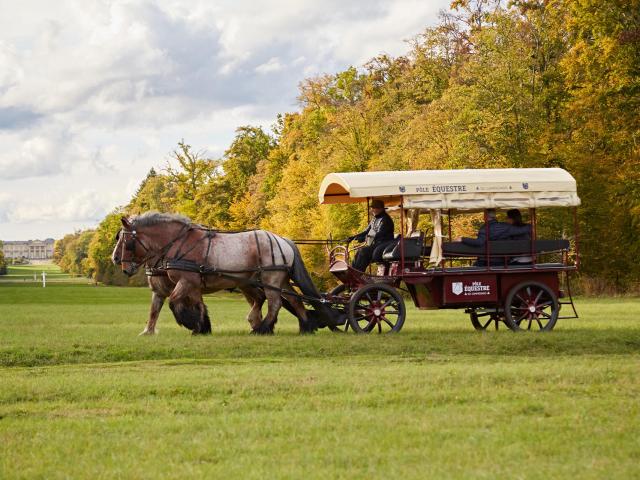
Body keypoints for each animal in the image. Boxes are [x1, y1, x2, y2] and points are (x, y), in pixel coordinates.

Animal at [111, 212, 330, 336]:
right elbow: (160, 309)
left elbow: (174, 302)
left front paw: (190, 323)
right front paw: (200, 327)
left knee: (274, 303)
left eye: (126, 241)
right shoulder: (191, 285)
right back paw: (306, 327)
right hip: (279, 279)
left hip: (271, 278)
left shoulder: (186, 281)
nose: (116, 260)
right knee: (294, 300)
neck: (180, 244)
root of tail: (283, 239)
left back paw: (262, 329)